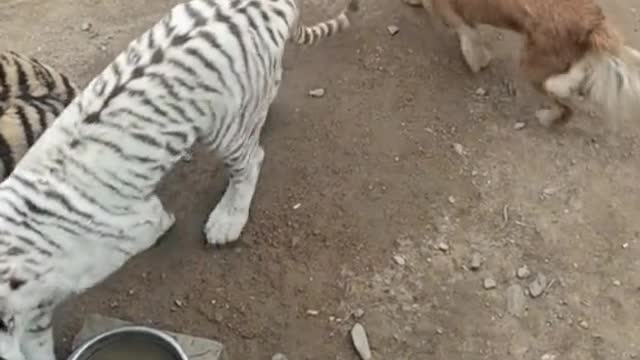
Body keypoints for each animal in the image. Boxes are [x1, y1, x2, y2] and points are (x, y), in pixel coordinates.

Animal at [0, 0, 358, 358]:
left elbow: (156, 220)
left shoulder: (133, 228)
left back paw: (228, 220)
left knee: (251, 160)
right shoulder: (35, 313)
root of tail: (275, 3)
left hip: (224, 126)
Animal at [404, 0, 640, 127]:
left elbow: (469, 37)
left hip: (533, 66)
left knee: (566, 107)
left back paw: (548, 118)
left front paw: (477, 60)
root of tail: (595, 22)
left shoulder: (451, 13)